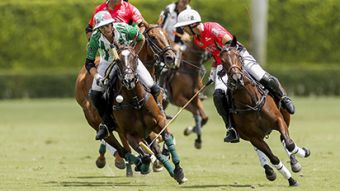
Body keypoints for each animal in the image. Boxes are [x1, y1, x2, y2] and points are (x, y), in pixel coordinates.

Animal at [111, 44, 187, 184]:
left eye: (135, 57)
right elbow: (145, 155)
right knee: (126, 150)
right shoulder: (130, 134)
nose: (129, 79)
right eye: (117, 61)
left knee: (157, 149)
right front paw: (144, 165)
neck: (136, 101)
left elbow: (167, 138)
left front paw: (179, 171)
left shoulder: (159, 121)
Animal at [218, 36, 310, 187]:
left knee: (284, 138)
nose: (237, 79)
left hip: (285, 117)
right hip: (249, 136)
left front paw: (303, 153)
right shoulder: (253, 137)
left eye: (238, 56)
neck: (251, 103)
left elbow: (290, 144)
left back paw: (295, 161)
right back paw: (269, 171)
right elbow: (274, 158)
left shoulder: (278, 120)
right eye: (222, 60)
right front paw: (291, 180)